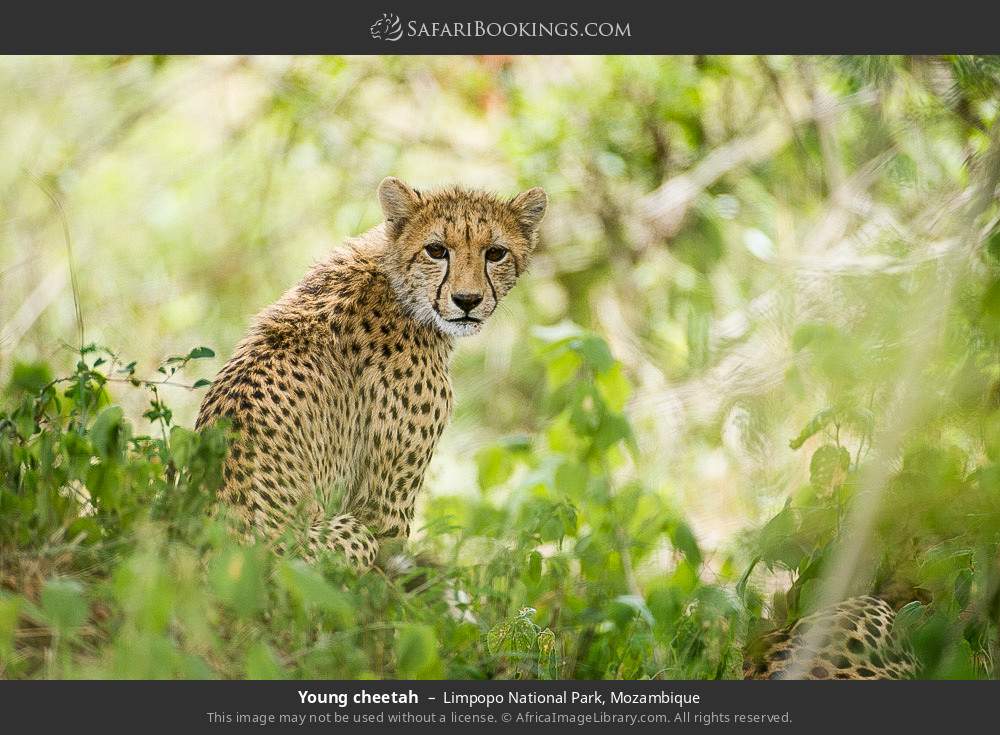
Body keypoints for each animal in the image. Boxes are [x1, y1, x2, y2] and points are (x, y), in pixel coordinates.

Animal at [196, 177, 547, 571]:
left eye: (496, 253)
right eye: (436, 250)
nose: (467, 301)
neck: (397, 284)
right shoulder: (383, 511)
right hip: (339, 537)